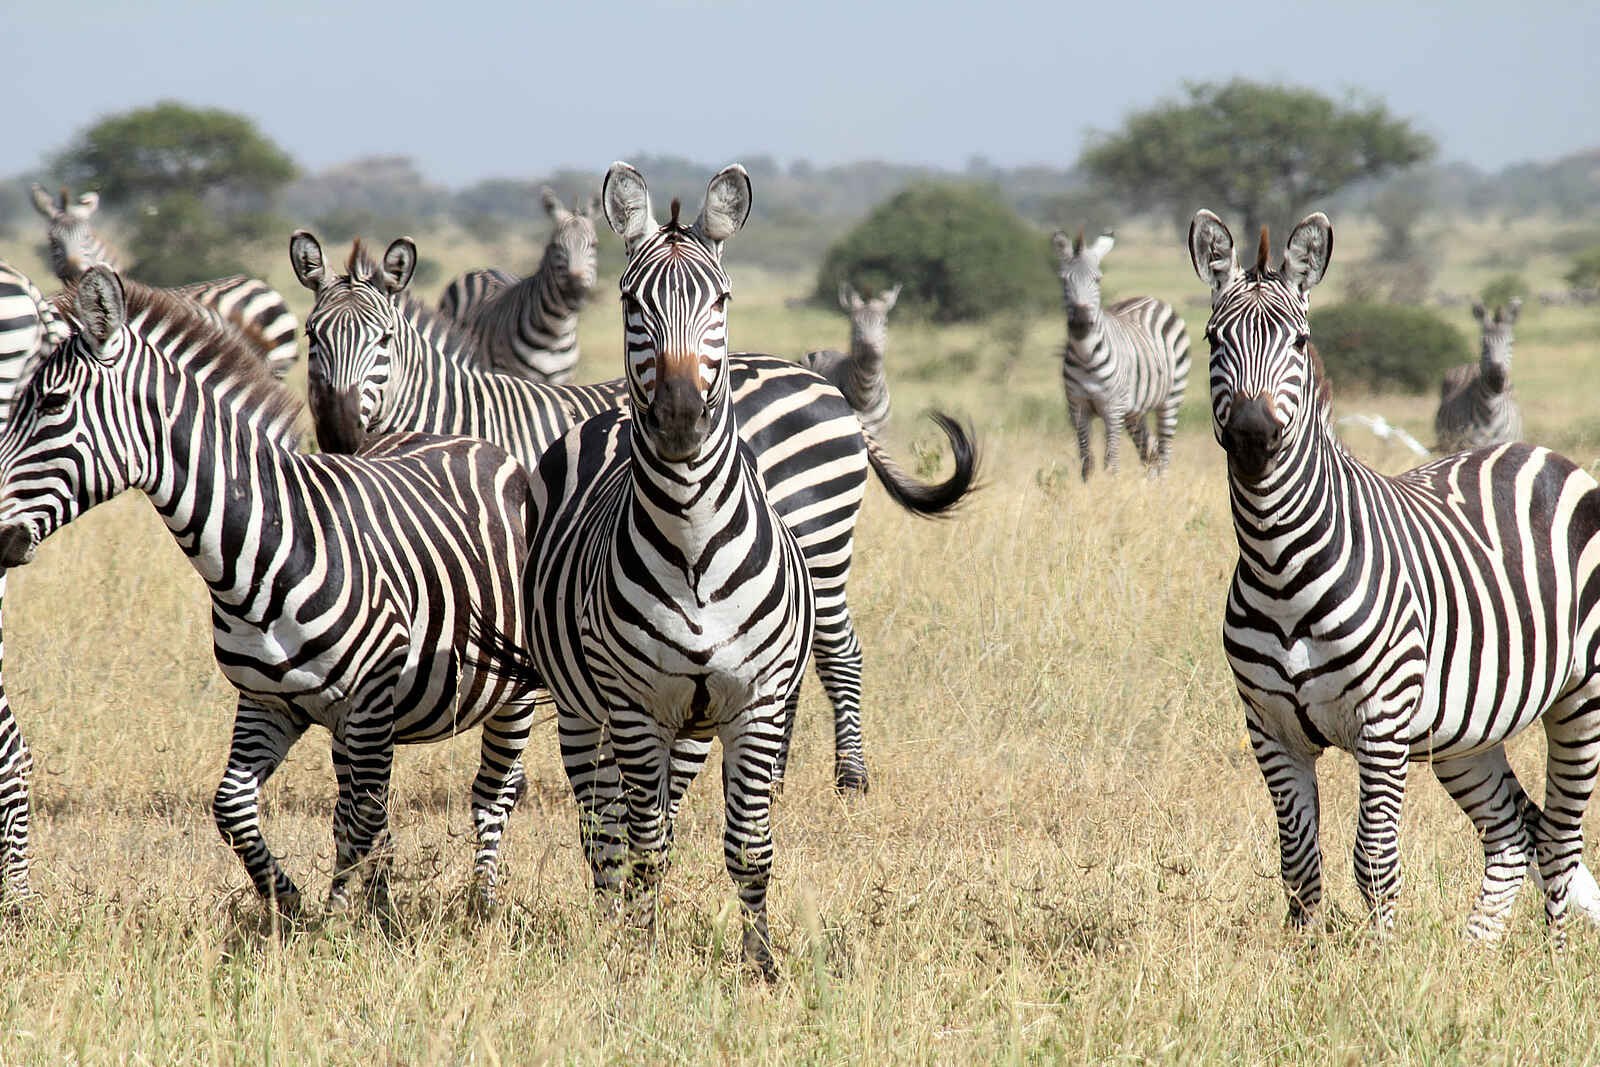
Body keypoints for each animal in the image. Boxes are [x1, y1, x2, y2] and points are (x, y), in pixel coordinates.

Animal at [0, 265, 537, 916]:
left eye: (52, 404)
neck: (261, 556)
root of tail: (472, 442)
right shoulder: (267, 703)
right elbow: (236, 808)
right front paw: (295, 905)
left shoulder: (370, 701)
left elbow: (363, 819)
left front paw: (342, 918)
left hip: (510, 692)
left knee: (494, 791)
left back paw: (482, 899)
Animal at [438, 187, 602, 384]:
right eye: (555, 245)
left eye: (594, 245)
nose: (574, 291)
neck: (556, 333)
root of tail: (480, 270)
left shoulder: (564, 382)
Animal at [473, 163, 815, 978]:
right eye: (632, 302)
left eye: (721, 301)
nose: (682, 418)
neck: (692, 545)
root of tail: (599, 418)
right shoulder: (630, 705)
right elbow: (644, 844)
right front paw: (644, 954)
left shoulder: (754, 703)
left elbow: (749, 847)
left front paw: (761, 964)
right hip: (581, 706)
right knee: (604, 829)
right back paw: (611, 927)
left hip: (688, 726)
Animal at [1052, 229, 1190, 479]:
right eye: (1063, 279)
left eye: (1097, 279)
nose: (1080, 323)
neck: (1086, 356)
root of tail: (1150, 298)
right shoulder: (1078, 409)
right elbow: (1087, 461)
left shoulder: (1112, 409)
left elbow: (1111, 461)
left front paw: (1111, 485)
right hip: (1135, 411)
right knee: (1149, 451)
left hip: (1171, 397)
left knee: (1164, 453)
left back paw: (1162, 486)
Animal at [1434, 299, 1522, 454]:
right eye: (1482, 343)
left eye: (1511, 343)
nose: (1495, 379)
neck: (1491, 414)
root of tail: (1471, 364)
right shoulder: (1466, 446)